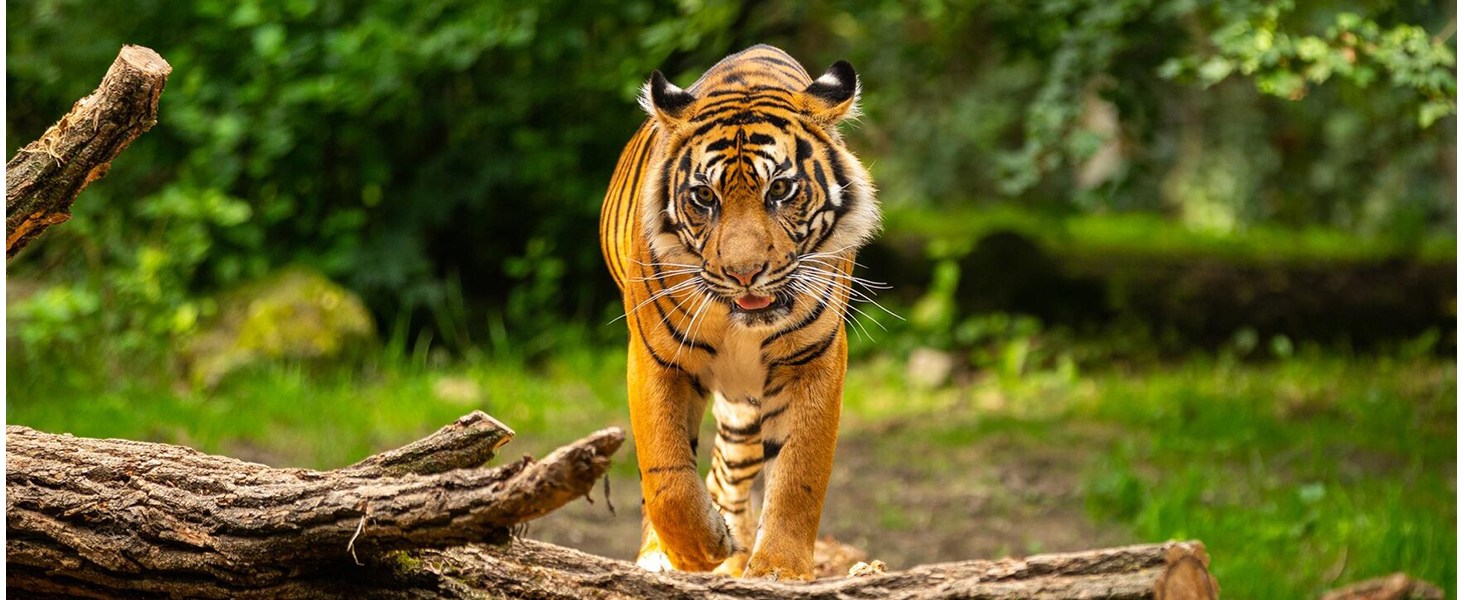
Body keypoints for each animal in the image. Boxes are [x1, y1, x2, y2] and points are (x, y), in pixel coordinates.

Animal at [598, 44, 879, 581]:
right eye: (705, 196)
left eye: (781, 190)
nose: (745, 273)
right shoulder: (657, 359)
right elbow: (666, 478)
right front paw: (696, 550)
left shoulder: (812, 360)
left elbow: (798, 473)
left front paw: (778, 569)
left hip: (745, 410)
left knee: (730, 474)